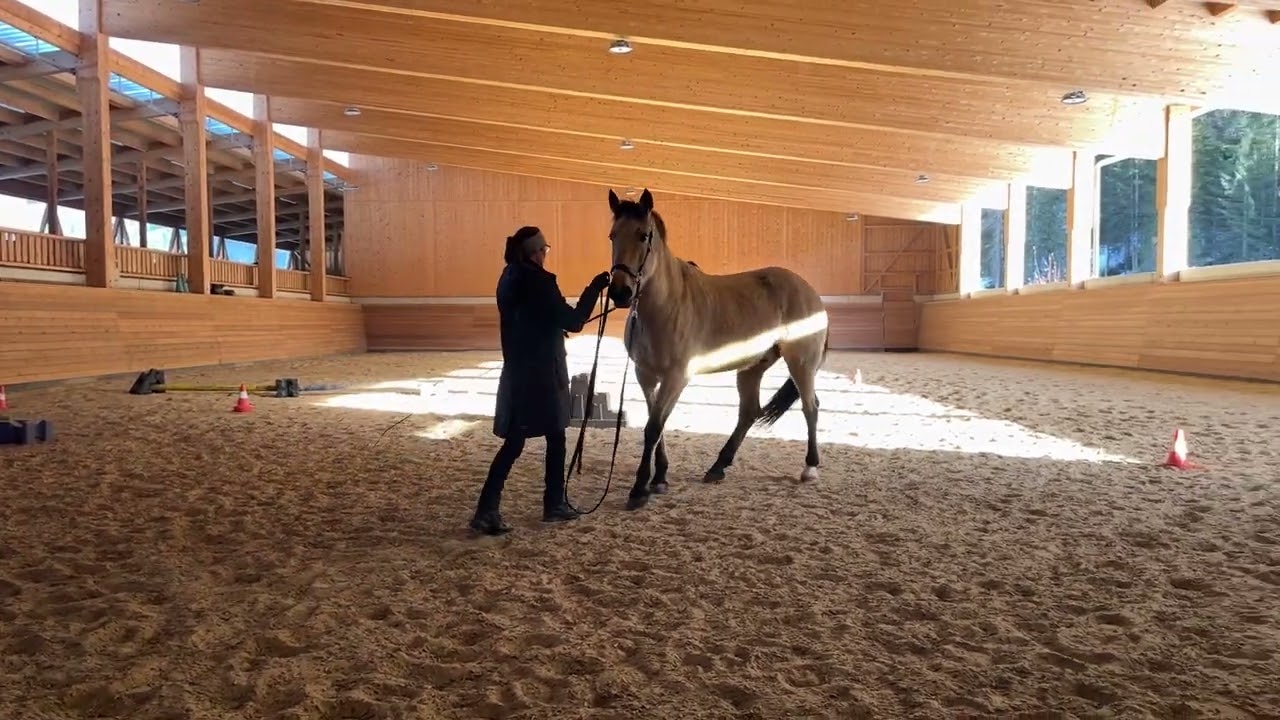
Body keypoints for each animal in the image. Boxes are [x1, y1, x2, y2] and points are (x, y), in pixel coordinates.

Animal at [606, 188, 831, 511]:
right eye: (612, 236)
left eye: (643, 235)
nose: (620, 292)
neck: (666, 305)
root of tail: (811, 293)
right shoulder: (645, 376)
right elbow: (656, 426)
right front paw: (659, 477)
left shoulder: (676, 378)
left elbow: (653, 428)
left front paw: (639, 489)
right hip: (752, 368)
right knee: (749, 412)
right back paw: (718, 466)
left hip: (800, 363)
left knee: (810, 406)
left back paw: (810, 467)